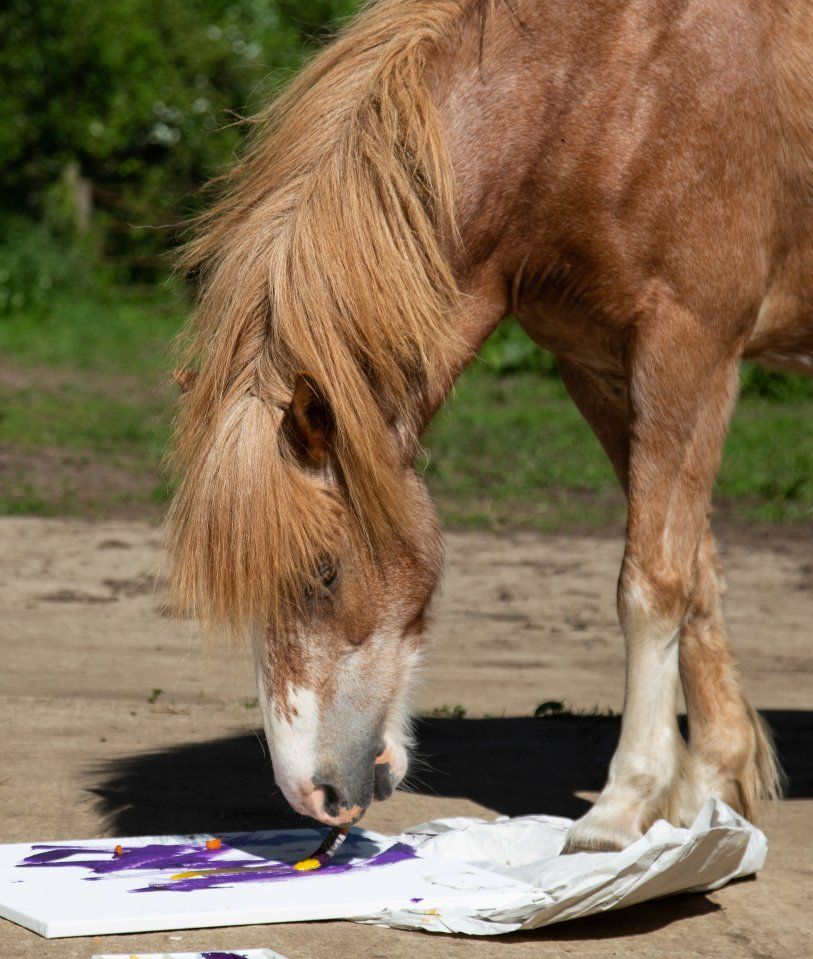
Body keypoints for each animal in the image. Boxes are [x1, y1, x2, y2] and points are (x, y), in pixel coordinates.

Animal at [166, 0, 811, 851]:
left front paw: (619, 807)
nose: (312, 796)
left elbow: (650, 584)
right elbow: (695, 572)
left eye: (324, 571)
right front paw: (708, 785)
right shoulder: (601, 368)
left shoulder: (690, 347)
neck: (605, 88)